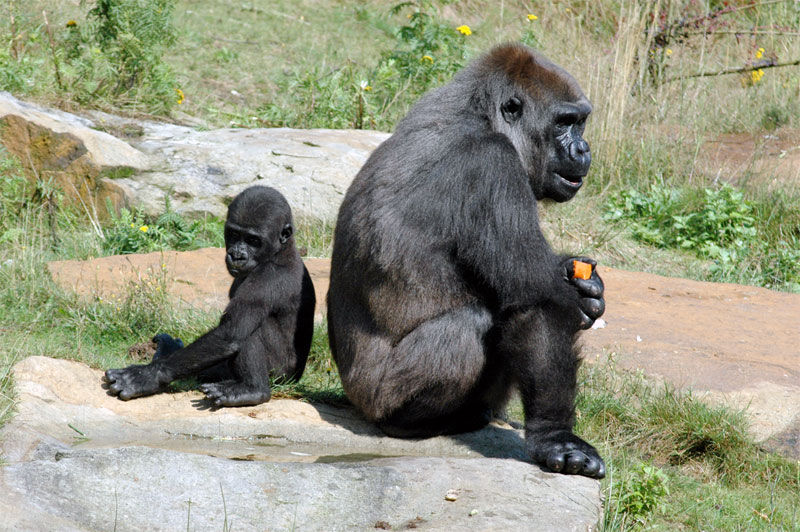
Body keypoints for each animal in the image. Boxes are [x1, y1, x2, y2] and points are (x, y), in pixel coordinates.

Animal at [104, 187, 318, 408]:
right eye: (234, 234)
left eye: (253, 241)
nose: (237, 255)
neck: (280, 251)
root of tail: (296, 378)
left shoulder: (268, 278)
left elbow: (230, 333)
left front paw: (148, 375)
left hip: (280, 376)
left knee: (246, 331)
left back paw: (252, 390)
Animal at [324, 43, 608, 478]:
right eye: (564, 123)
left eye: (581, 123)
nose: (583, 149)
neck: (481, 114)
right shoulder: (493, 166)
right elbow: (538, 300)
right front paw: (557, 437)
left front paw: (584, 284)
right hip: (375, 397)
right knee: (470, 323)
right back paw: (415, 421)